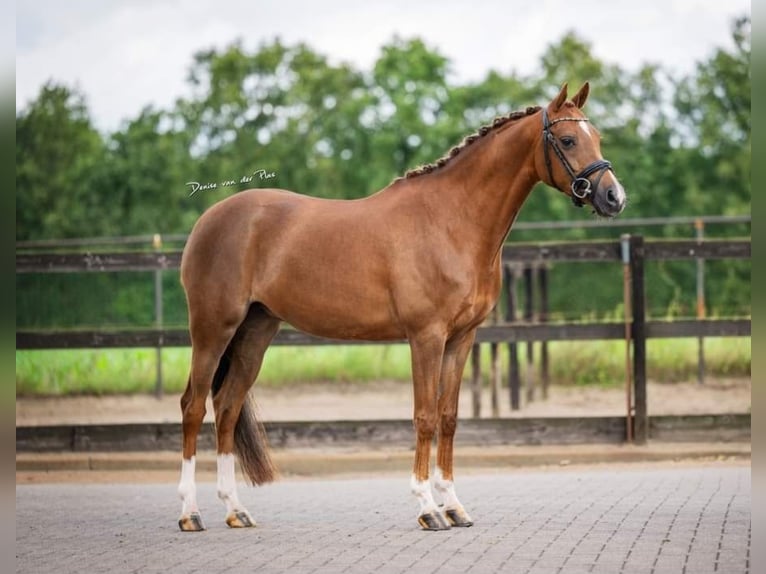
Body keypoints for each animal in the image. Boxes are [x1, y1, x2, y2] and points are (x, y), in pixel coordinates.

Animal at [180, 83, 632, 532]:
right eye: (568, 139)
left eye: (597, 137)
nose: (615, 197)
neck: (451, 222)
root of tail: (209, 219)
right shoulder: (425, 337)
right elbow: (425, 416)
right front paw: (428, 508)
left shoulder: (461, 339)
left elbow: (448, 417)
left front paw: (454, 507)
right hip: (213, 330)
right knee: (194, 406)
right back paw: (190, 514)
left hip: (256, 332)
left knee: (227, 407)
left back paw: (235, 510)